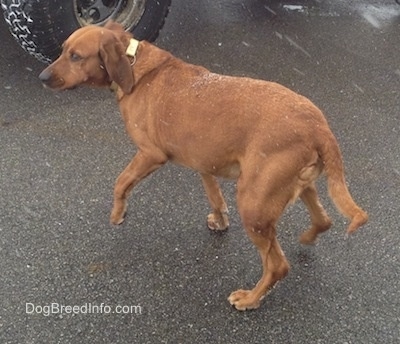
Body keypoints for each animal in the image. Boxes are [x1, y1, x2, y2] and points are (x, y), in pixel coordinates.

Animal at [39, 22, 368, 312]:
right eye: (63, 49)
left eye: (76, 56)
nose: (42, 77)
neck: (134, 65)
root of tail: (319, 127)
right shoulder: (204, 162)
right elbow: (214, 196)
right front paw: (220, 221)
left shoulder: (150, 154)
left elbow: (120, 182)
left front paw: (117, 214)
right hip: (295, 186)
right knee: (324, 220)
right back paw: (307, 238)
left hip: (253, 203)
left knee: (277, 266)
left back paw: (251, 299)